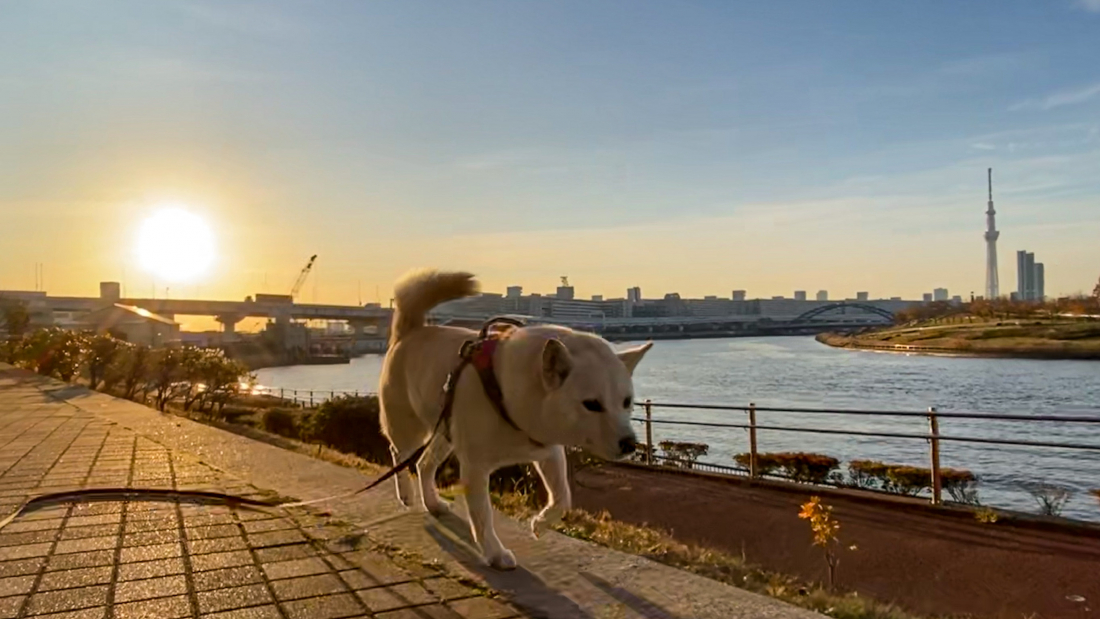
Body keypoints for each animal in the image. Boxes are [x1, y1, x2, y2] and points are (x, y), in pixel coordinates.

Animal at [378, 269, 651, 567]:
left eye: (626, 402)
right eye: (592, 404)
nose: (629, 444)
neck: (510, 398)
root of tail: (413, 330)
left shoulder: (548, 450)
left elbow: (562, 498)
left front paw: (540, 524)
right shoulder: (475, 467)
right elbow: (482, 517)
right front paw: (495, 553)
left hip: (444, 433)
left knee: (424, 464)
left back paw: (434, 504)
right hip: (407, 425)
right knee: (399, 454)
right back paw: (406, 493)